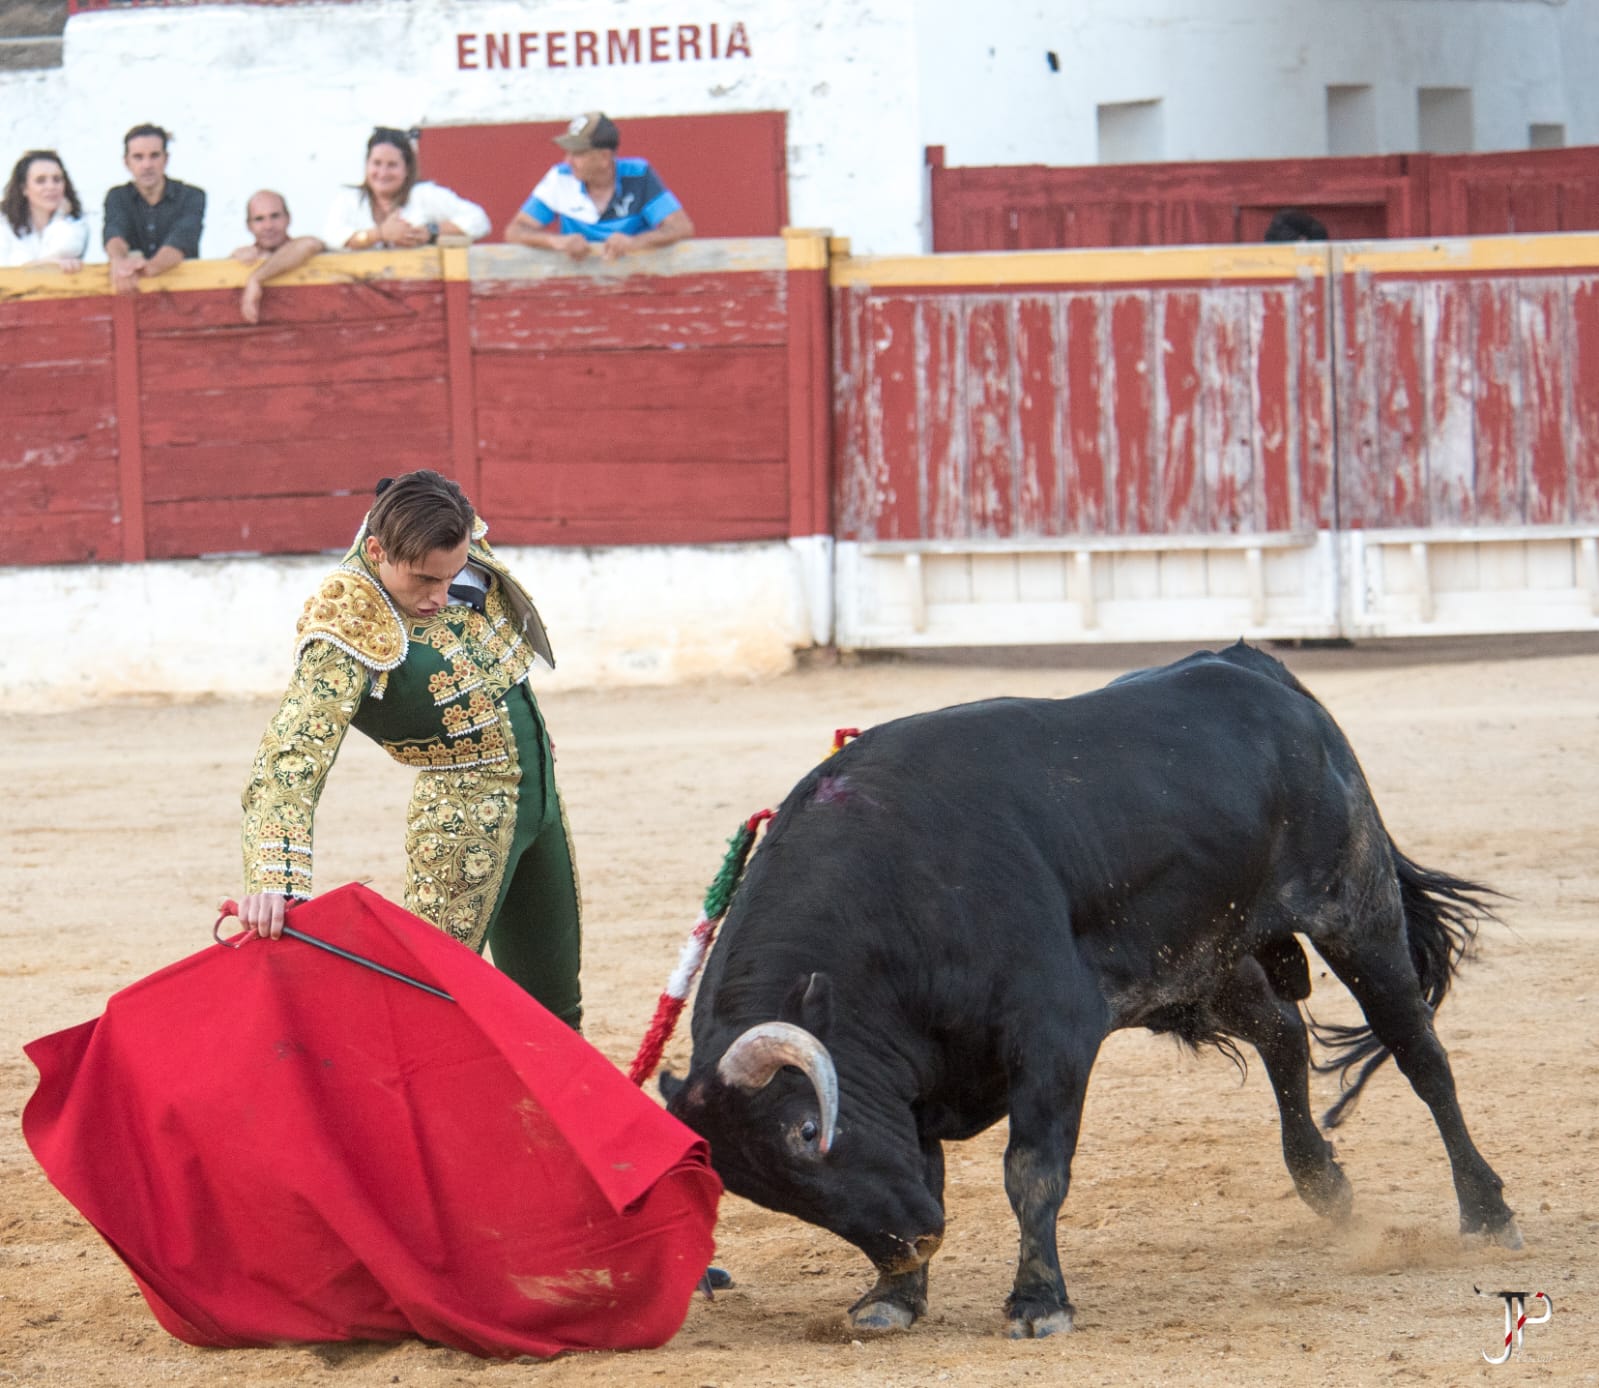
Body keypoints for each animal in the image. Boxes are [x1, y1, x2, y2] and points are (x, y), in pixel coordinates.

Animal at [665, 646, 1522, 1336]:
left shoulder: (1052, 1038)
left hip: (1356, 912)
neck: (897, 891)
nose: (915, 1239)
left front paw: (1037, 1304)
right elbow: (926, 1165)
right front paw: (894, 1298)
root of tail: (1253, 666)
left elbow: (1032, 1171)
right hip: (1203, 966)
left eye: (807, 1131)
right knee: (1282, 1032)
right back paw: (1324, 1185)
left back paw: (1486, 1212)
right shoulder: (911, 1080)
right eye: (763, 1191)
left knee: (1419, 1055)